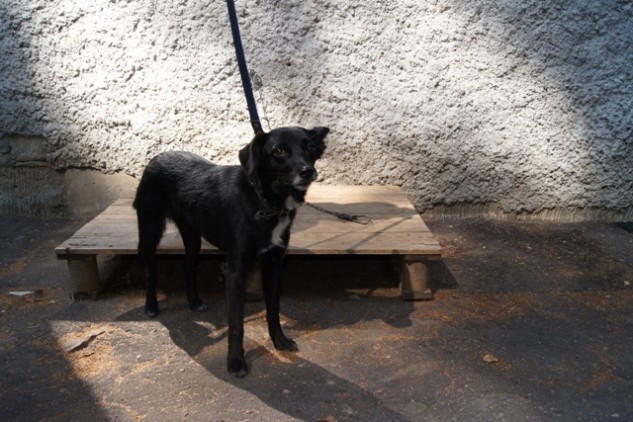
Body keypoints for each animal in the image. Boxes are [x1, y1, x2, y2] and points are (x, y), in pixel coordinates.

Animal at [133, 126, 328, 377]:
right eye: (279, 151)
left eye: (310, 148)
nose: (307, 171)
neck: (264, 202)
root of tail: (157, 157)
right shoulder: (235, 272)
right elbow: (236, 324)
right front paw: (236, 361)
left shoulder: (274, 265)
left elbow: (273, 310)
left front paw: (279, 341)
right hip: (150, 230)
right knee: (150, 271)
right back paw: (151, 306)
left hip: (193, 235)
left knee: (187, 266)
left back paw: (194, 301)